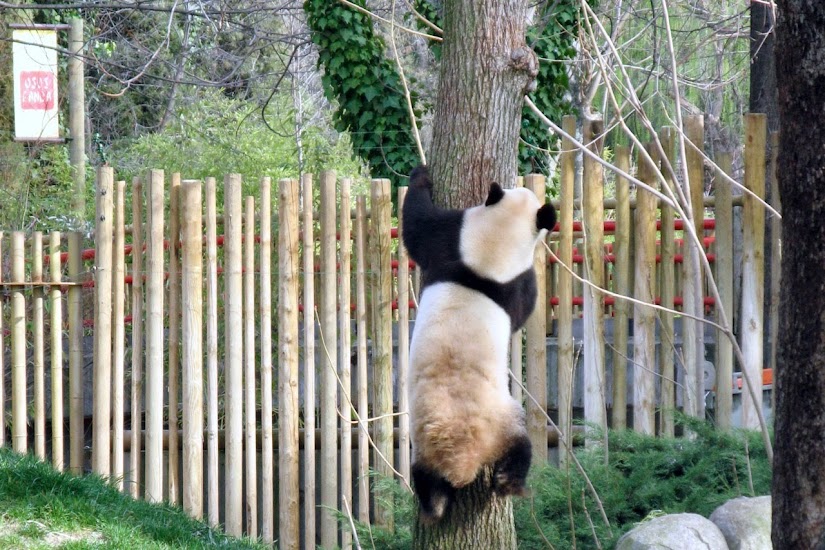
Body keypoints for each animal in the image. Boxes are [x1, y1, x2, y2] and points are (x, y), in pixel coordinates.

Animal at [402, 164, 556, 520]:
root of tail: (461, 460)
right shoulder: (457, 239)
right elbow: (418, 225)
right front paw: (421, 174)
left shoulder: (450, 247)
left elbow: (417, 230)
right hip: (502, 419)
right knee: (520, 445)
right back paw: (511, 483)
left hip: (422, 442)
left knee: (425, 479)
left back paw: (433, 508)